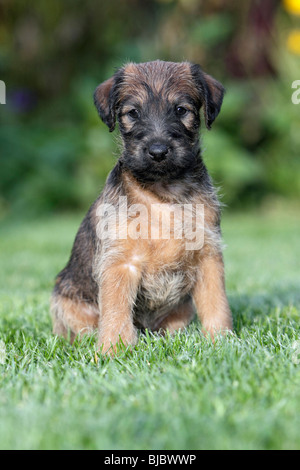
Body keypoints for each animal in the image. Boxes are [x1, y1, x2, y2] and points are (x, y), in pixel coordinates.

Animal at [51, 59, 233, 352]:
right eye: (133, 113)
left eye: (181, 110)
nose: (158, 151)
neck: (162, 192)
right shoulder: (121, 262)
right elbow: (116, 310)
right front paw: (113, 350)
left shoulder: (207, 254)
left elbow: (216, 303)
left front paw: (221, 340)